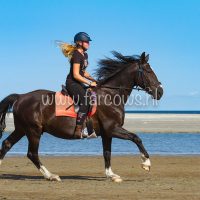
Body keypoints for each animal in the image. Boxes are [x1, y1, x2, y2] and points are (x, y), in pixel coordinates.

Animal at [0, 51, 162, 181]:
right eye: (148, 71)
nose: (160, 92)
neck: (110, 95)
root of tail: (20, 97)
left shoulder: (107, 133)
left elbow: (107, 153)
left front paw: (111, 175)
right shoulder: (112, 128)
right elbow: (136, 138)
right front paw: (146, 163)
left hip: (22, 129)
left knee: (7, 144)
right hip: (34, 131)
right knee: (32, 153)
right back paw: (51, 176)